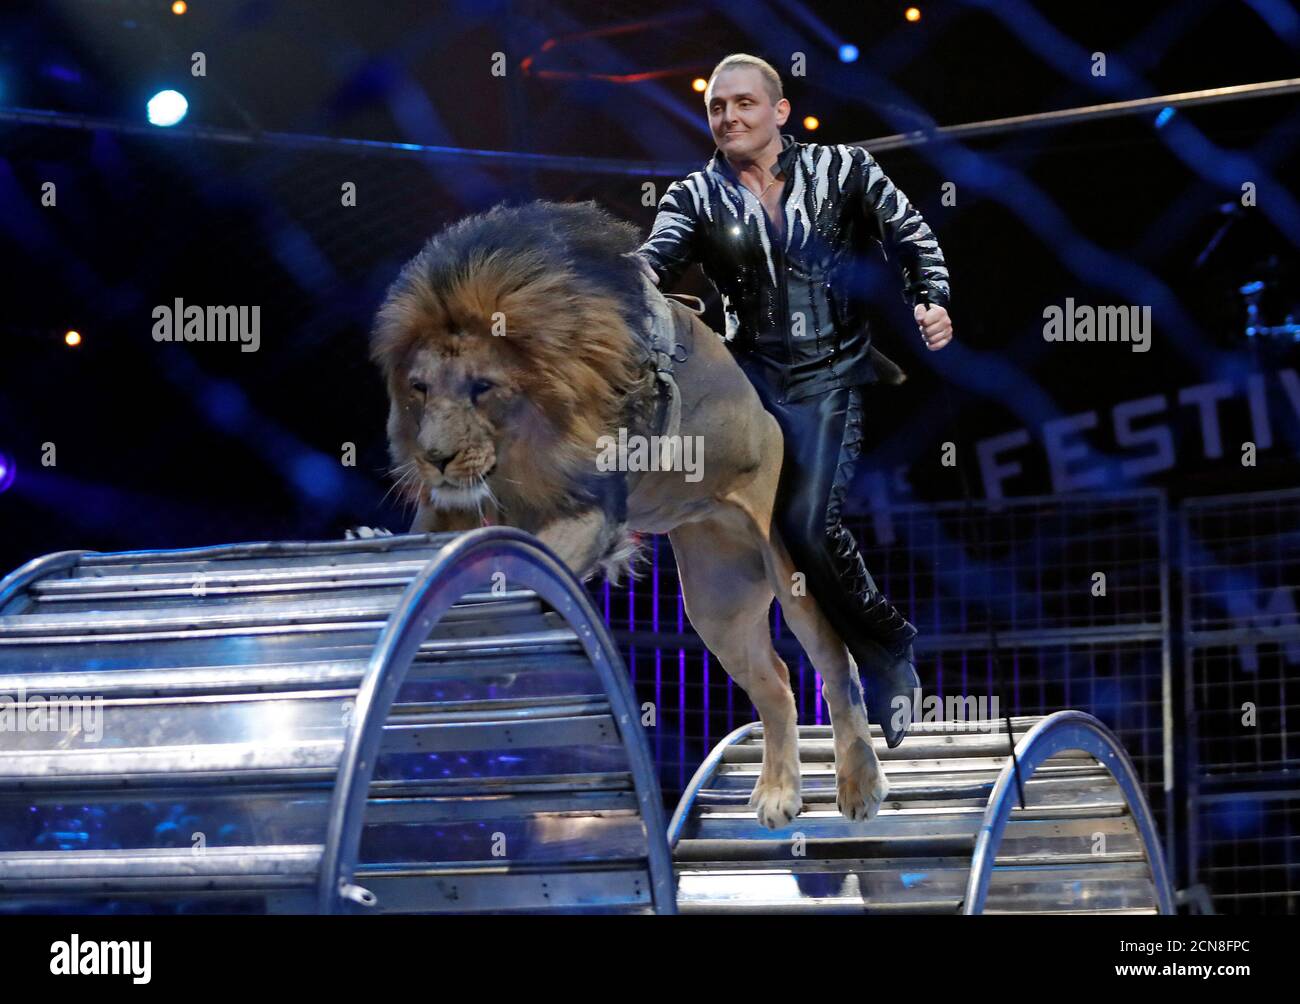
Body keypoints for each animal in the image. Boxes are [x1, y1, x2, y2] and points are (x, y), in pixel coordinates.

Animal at [371, 200, 889, 827]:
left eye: (483, 387)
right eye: (420, 388)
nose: (435, 458)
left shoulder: (593, 506)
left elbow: (539, 561)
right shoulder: (457, 506)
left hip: (792, 566)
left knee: (836, 665)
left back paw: (860, 785)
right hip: (716, 602)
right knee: (777, 682)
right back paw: (778, 792)